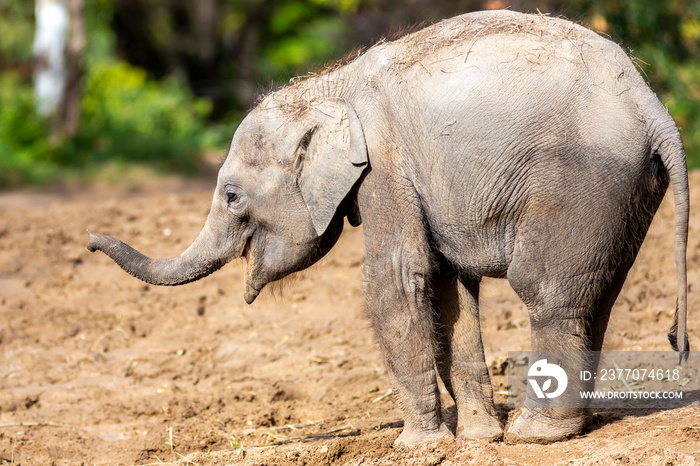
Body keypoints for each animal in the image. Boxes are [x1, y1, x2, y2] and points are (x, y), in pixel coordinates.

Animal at [87, 10, 688, 444]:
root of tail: (650, 103)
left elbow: (396, 280)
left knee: (545, 291)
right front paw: (476, 439)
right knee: (595, 296)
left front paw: (419, 446)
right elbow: (447, 288)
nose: (90, 240)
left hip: (579, 181)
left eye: (232, 197)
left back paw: (536, 435)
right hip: (625, 190)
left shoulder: (385, 168)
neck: (328, 86)